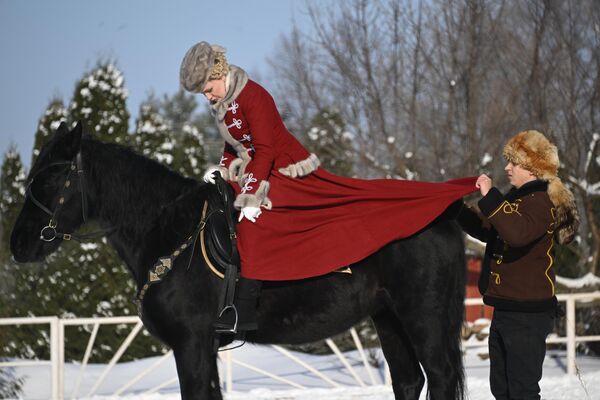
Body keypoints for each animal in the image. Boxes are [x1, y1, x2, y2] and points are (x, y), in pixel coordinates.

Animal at [10, 122, 468, 400]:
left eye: (53, 177)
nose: (18, 245)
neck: (171, 233)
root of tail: (444, 213)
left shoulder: (191, 344)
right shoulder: (204, 347)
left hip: (422, 317)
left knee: (440, 377)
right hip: (388, 318)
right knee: (409, 380)